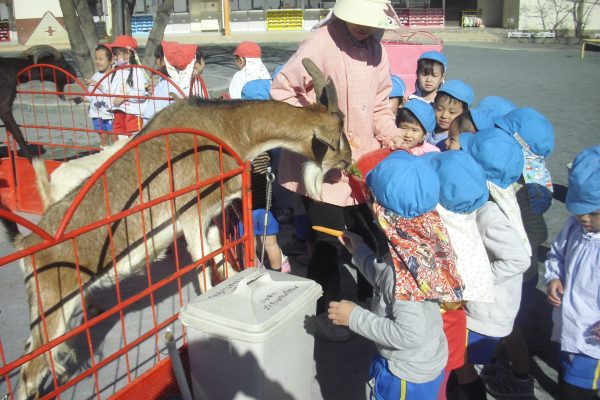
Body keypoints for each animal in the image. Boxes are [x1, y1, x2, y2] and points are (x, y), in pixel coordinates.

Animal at [4, 59, 350, 400]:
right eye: (337, 132)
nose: (348, 161)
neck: (227, 128)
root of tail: (26, 246)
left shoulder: (208, 217)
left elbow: (220, 258)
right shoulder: (192, 212)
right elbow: (203, 259)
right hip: (54, 304)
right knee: (30, 371)